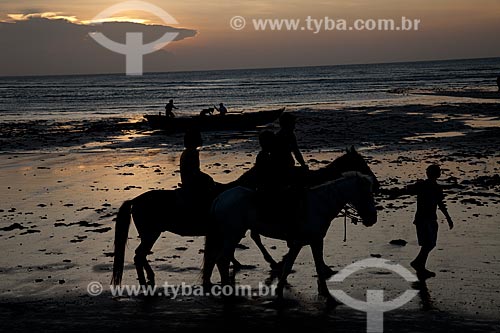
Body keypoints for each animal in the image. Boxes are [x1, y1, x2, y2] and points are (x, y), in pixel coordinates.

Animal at [201, 171, 376, 304]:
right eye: (366, 193)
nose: (372, 219)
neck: (319, 205)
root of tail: (220, 198)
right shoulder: (312, 241)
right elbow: (314, 267)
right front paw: (328, 296)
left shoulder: (303, 242)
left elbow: (291, 265)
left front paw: (279, 291)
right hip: (233, 235)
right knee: (222, 259)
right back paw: (228, 294)